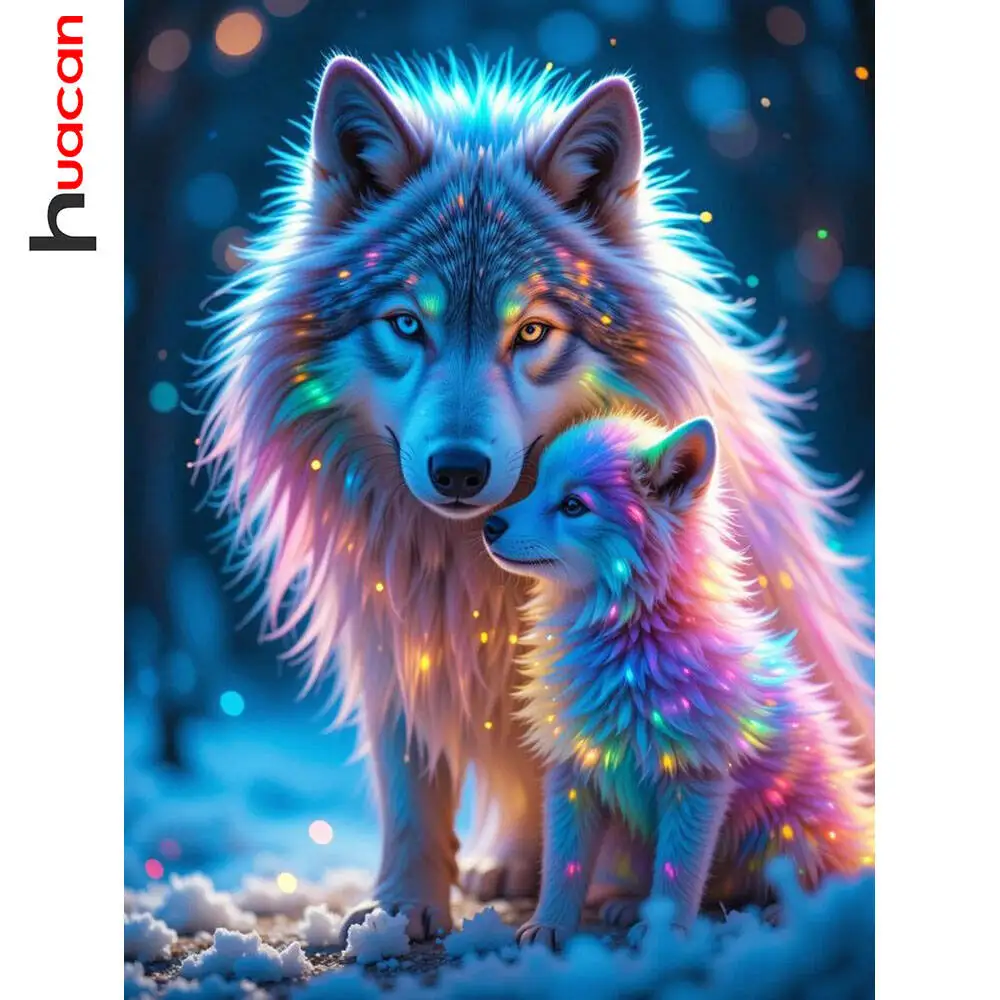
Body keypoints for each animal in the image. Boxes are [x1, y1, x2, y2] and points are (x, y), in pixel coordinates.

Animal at [481, 414, 874, 947]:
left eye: (573, 505)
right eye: (537, 484)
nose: (489, 524)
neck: (630, 645)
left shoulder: (698, 779)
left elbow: (679, 868)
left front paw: (664, 935)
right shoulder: (575, 769)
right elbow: (564, 864)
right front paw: (550, 926)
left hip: (793, 826)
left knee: (817, 877)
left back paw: (786, 914)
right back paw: (630, 905)